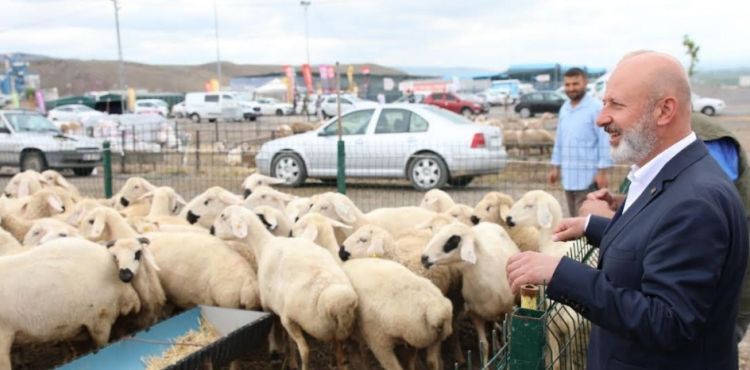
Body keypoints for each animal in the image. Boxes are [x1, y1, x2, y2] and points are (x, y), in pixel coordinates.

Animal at [213, 205, 360, 370]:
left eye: (223, 216)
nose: (211, 230)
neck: (263, 244)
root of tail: (338, 300)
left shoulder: (271, 307)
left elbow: (276, 331)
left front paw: (277, 354)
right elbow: (288, 340)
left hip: (296, 319)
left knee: (305, 350)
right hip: (338, 332)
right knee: (341, 356)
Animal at [424, 221, 524, 362]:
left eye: (453, 240)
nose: (423, 258)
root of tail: (486, 223)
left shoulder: (509, 310)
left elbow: (508, 337)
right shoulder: (475, 315)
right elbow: (483, 346)